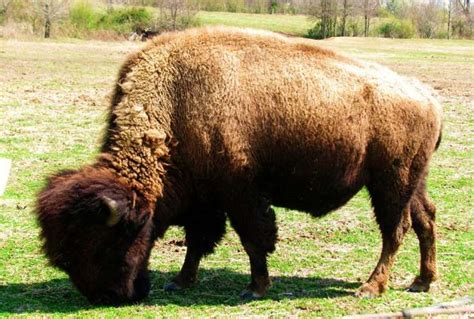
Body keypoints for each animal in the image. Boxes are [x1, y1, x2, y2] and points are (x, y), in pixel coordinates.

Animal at [35, 27, 442, 304]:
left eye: (102, 244)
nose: (109, 297)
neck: (174, 106)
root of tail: (427, 97)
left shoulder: (240, 193)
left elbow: (252, 238)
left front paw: (256, 287)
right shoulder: (206, 199)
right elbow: (199, 241)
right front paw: (180, 281)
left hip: (390, 183)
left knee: (395, 230)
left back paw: (371, 287)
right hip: (413, 181)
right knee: (425, 220)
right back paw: (421, 282)